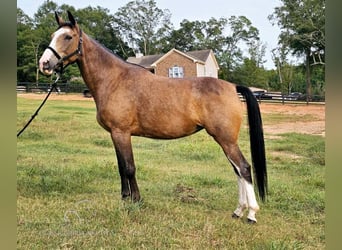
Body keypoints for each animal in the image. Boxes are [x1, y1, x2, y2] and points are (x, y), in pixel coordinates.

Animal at [39, 10, 268, 224]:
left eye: (68, 37)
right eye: (52, 35)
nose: (44, 64)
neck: (114, 80)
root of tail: (232, 87)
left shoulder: (121, 133)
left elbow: (129, 168)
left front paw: (136, 201)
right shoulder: (115, 134)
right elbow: (121, 167)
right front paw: (124, 198)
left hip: (226, 139)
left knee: (244, 168)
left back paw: (251, 214)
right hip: (225, 140)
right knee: (237, 170)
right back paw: (238, 211)